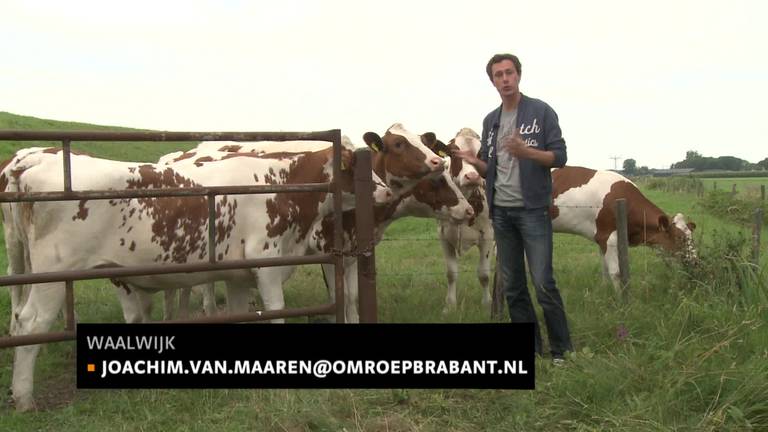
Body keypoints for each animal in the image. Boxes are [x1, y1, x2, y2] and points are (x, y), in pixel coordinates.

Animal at [548, 165, 700, 286]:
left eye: (692, 238)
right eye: (680, 238)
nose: (695, 262)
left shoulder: (600, 237)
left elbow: (604, 270)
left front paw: (604, 291)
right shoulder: (607, 238)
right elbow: (615, 273)